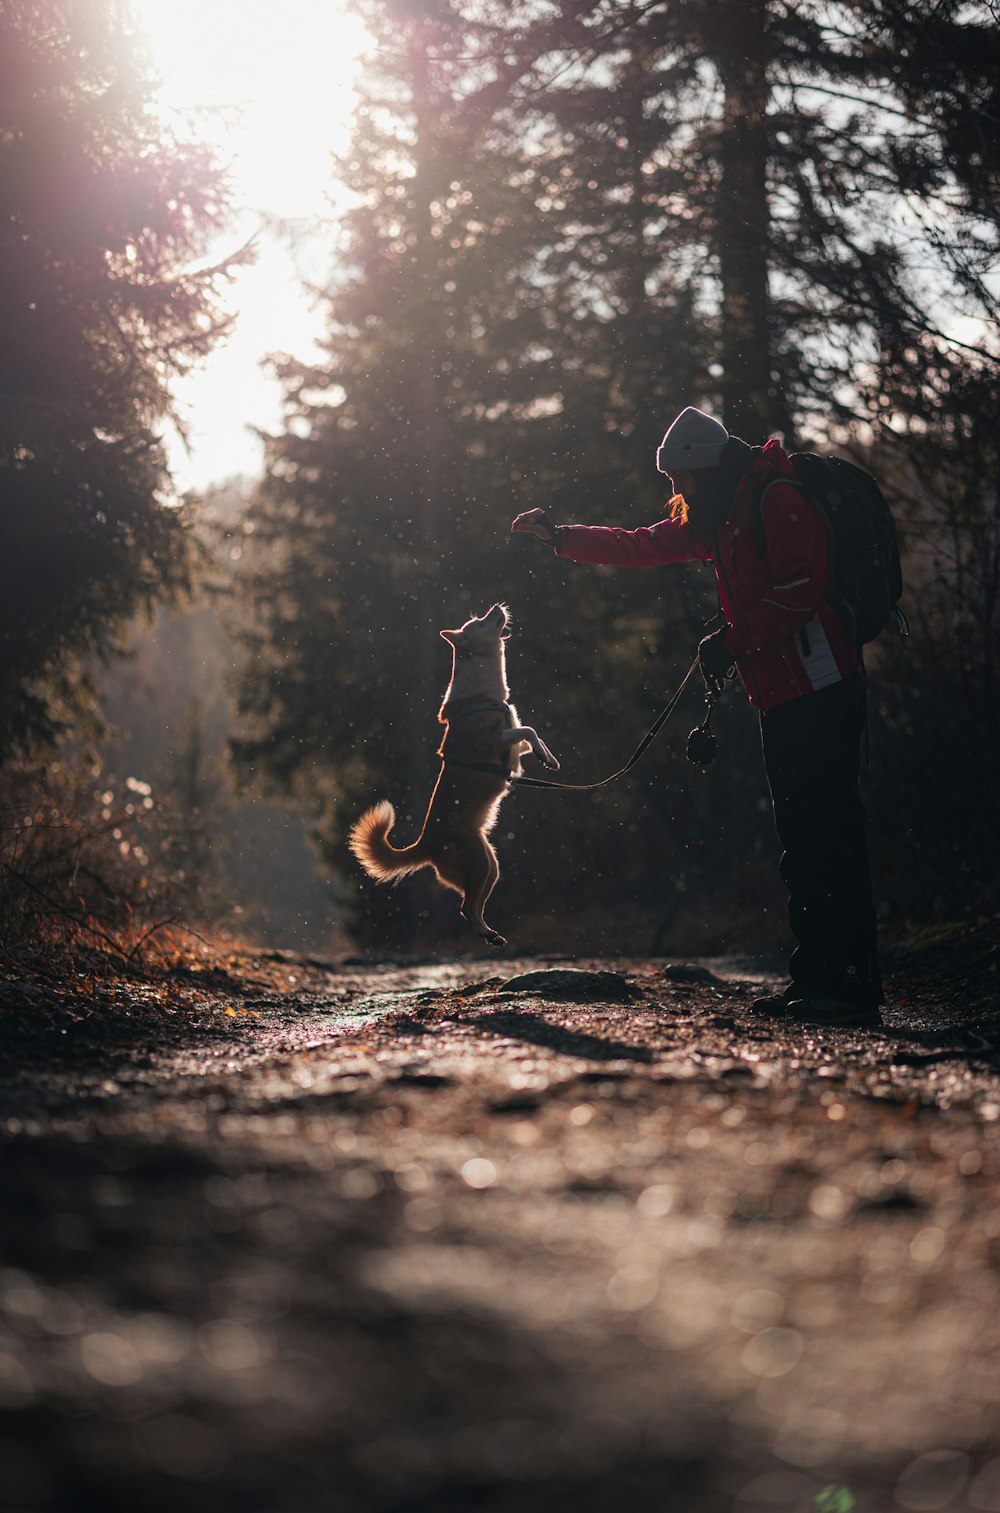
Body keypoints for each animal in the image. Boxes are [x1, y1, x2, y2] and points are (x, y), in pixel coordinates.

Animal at [346, 602, 556, 944]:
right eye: (479, 622)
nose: (497, 605)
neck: (485, 694)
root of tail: (425, 844)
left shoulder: (512, 741)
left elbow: (528, 733)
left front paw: (548, 756)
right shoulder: (492, 740)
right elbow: (527, 729)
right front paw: (542, 752)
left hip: (491, 866)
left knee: (472, 905)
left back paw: (489, 933)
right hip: (480, 863)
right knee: (466, 907)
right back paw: (485, 932)